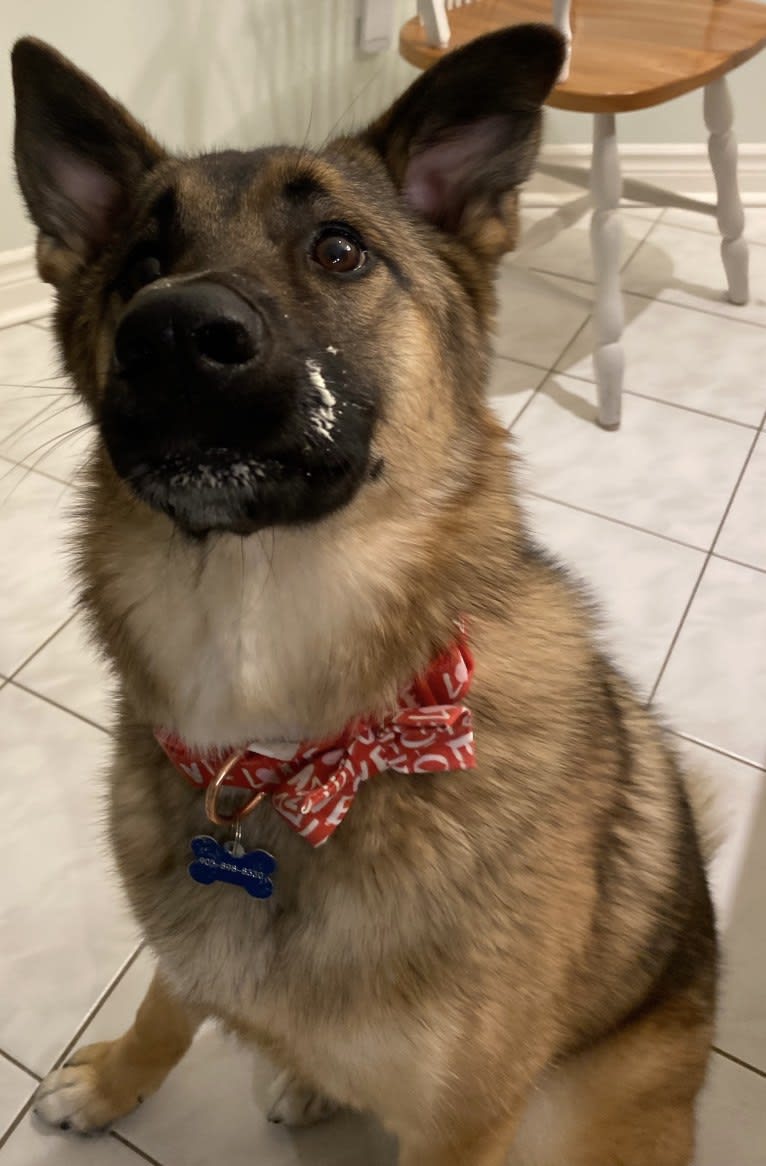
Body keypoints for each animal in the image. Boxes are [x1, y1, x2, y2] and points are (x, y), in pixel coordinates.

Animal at [13, 25, 718, 1166]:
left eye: (338, 250)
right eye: (142, 266)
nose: (173, 333)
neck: (282, 754)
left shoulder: (463, 1122)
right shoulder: (190, 944)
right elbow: (168, 1001)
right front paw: (115, 1079)